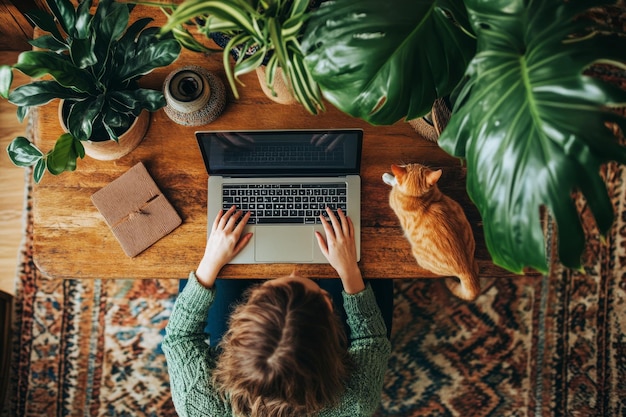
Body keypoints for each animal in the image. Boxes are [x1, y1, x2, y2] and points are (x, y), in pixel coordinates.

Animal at [380, 162, 478, 300]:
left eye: (410, 164)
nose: (406, 163)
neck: (417, 197)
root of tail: (466, 269)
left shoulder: (393, 197)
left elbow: (395, 182)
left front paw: (388, 177)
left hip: (417, 255)